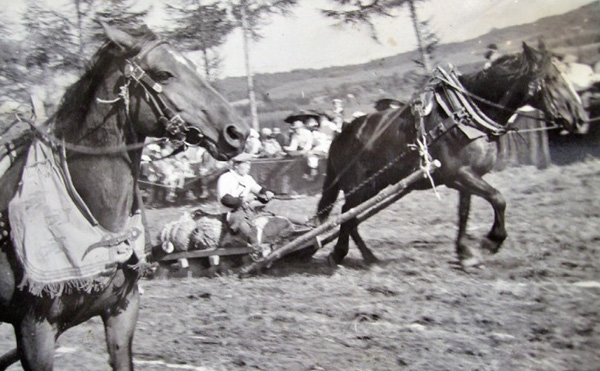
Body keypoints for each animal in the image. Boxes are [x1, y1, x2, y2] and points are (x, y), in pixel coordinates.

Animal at [316, 43, 588, 270]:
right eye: (552, 78)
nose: (581, 119)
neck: (463, 116)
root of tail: (341, 133)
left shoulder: (465, 177)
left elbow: (464, 212)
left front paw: (464, 252)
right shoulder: (459, 174)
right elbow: (498, 198)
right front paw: (491, 241)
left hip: (375, 184)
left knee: (350, 217)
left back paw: (367, 257)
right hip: (359, 185)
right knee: (346, 214)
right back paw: (341, 254)